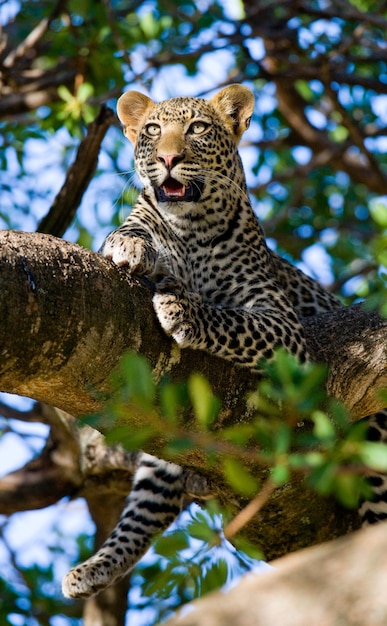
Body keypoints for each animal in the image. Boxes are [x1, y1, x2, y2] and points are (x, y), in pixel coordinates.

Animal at [62, 83, 386, 596]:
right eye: (151, 130)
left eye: (197, 128)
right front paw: (131, 244)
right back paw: (91, 570)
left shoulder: (283, 331)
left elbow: (233, 320)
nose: (168, 158)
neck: (191, 229)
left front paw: (182, 310)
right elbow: (131, 230)